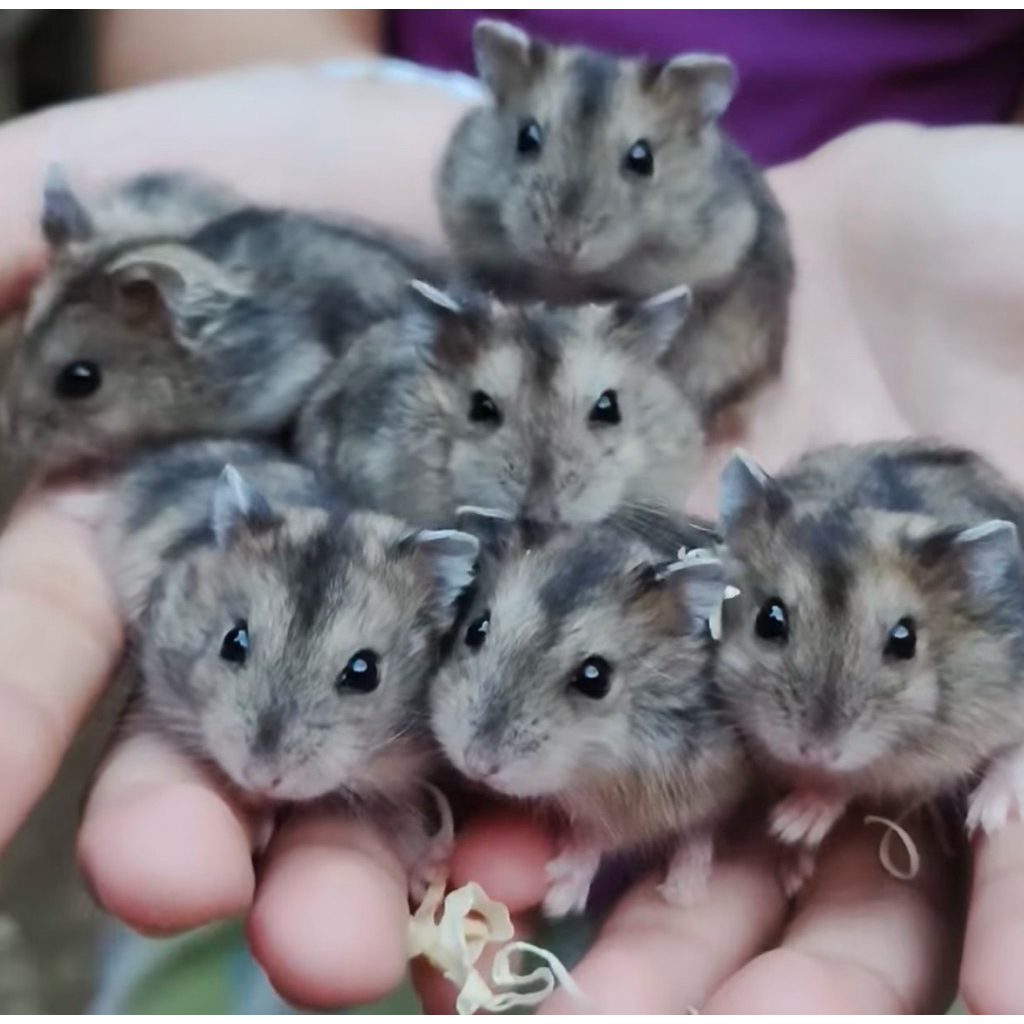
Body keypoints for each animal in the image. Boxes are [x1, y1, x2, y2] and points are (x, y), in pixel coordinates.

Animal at [430, 508, 748, 918]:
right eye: (476, 628)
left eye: (596, 678)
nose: (477, 765)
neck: (593, 771)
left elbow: (683, 827)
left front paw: (559, 898)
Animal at [715, 440, 1024, 877]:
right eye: (768, 619)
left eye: (905, 640)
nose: (814, 752)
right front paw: (791, 853)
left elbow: (854, 779)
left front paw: (791, 823)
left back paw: (987, 812)